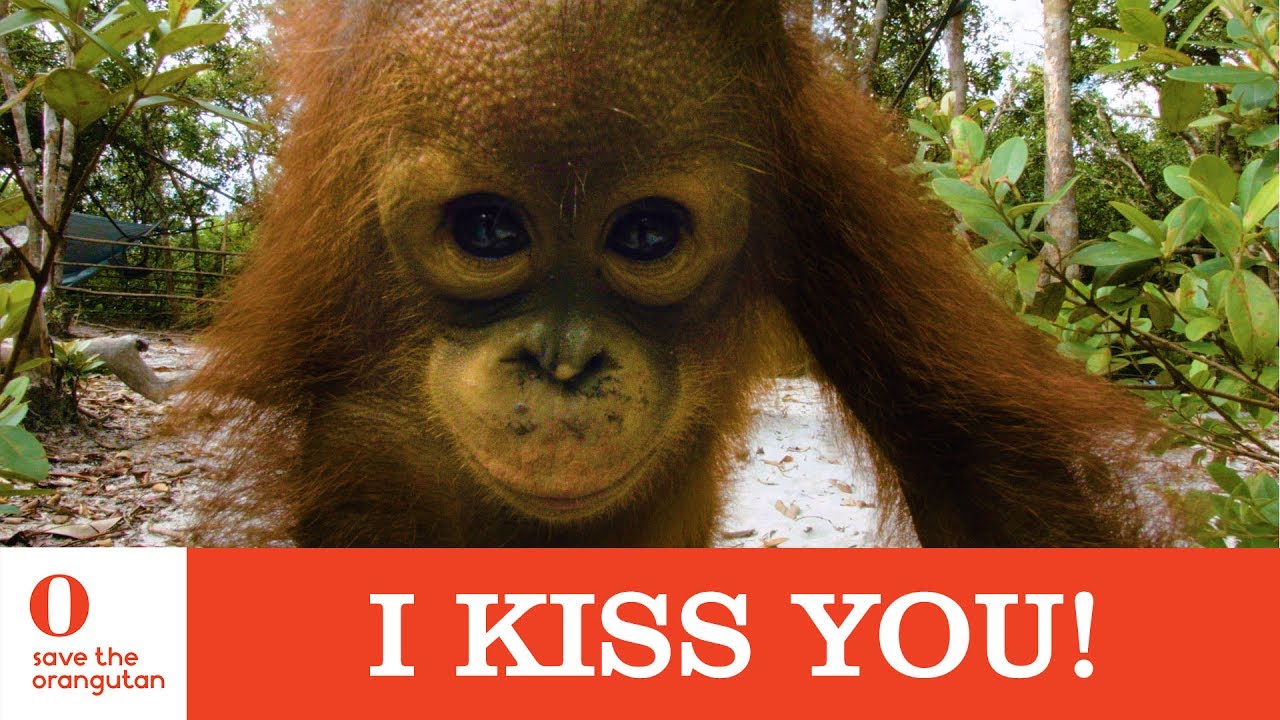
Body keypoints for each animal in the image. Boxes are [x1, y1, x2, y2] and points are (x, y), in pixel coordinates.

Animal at [181, 0, 1180, 548]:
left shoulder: (818, 178)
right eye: (489, 230)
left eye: (647, 236)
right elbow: (367, 449)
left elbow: (967, 457)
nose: (562, 364)